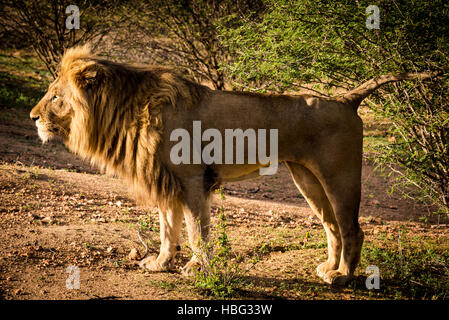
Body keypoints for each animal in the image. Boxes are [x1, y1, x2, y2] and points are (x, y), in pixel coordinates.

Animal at [28, 45, 434, 284]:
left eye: (55, 97)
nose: (32, 117)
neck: (126, 110)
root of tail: (347, 99)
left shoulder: (192, 180)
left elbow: (195, 231)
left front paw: (196, 268)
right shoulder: (166, 181)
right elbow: (167, 229)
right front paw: (159, 264)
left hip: (340, 178)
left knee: (353, 230)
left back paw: (344, 277)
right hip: (307, 179)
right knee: (332, 226)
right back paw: (328, 268)